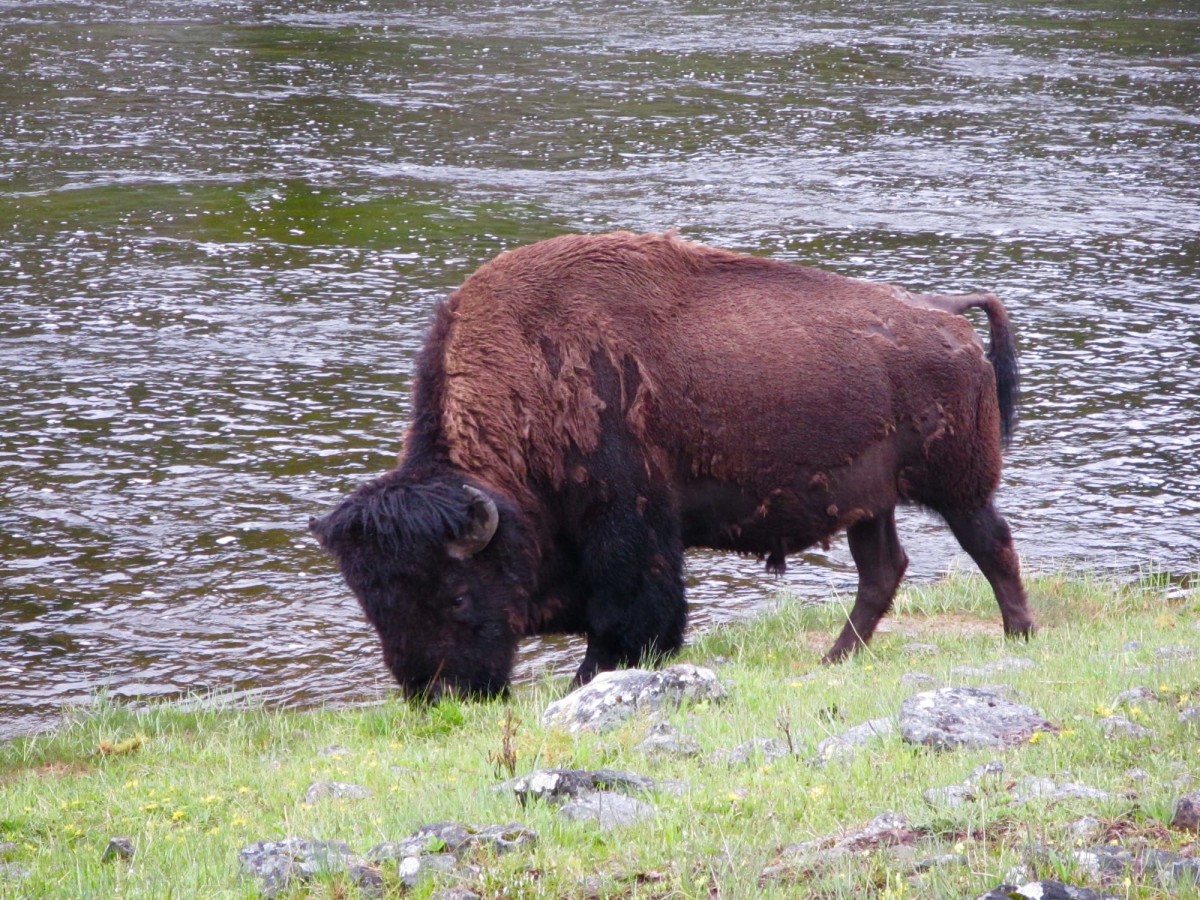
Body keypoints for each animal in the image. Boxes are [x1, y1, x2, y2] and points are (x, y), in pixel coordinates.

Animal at [309, 232, 1032, 705]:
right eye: (374, 606)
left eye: (457, 594)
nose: (438, 695)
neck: (531, 373)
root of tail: (946, 316)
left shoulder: (627, 528)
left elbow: (627, 618)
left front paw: (589, 682)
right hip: (868, 501)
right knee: (883, 571)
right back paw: (835, 660)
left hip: (957, 485)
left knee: (991, 544)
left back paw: (1019, 637)